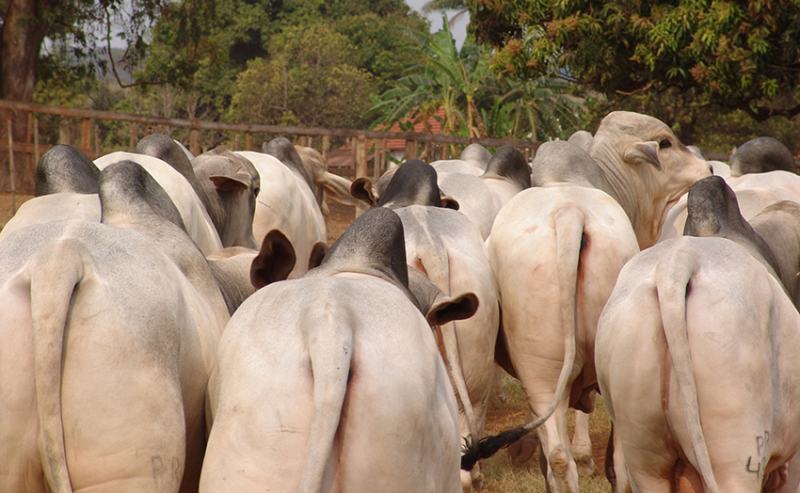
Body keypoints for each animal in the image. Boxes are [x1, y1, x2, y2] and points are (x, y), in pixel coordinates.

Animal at [484, 111, 708, 492]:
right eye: (666, 143)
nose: (707, 168)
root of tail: (569, 212)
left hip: (542, 372)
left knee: (559, 456)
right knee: (620, 459)